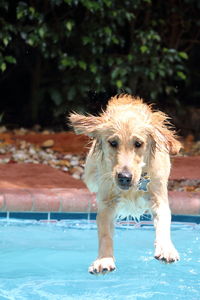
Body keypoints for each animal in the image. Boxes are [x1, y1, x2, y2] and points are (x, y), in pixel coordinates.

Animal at [69, 94, 182, 274]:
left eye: (138, 144)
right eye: (113, 143)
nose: (124, 177)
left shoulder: (158, 197)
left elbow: (164, 221)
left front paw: (166, 249)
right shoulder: (107, 203)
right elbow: (105, 233)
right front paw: (104, 259)